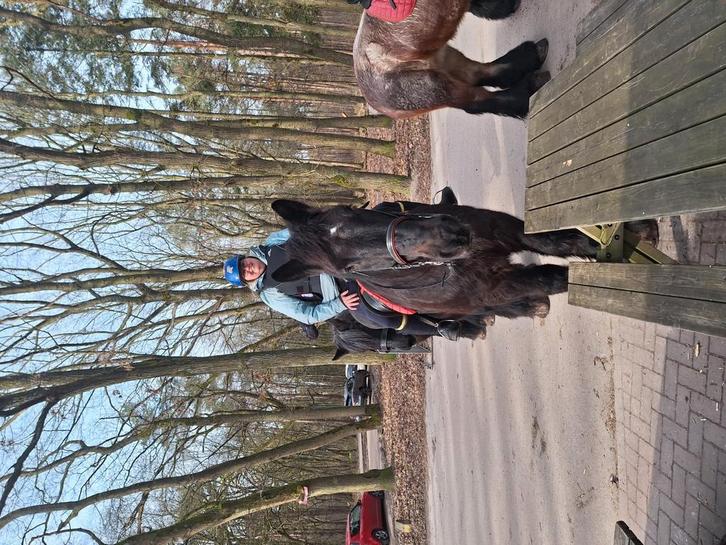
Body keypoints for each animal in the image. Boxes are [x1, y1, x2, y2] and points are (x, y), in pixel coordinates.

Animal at [267, 199, 598, 321]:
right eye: (349, 269)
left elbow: (554, 241)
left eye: (351, 210)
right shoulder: (494, 287)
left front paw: (598, 243)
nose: (450, 235)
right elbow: (553, 277)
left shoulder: (503, 230)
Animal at [353, 0, 550, 118]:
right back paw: (530, 85)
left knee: (477, 73)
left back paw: (533, 54)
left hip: (443, 58)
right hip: (435, 87)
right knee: (479, 101)